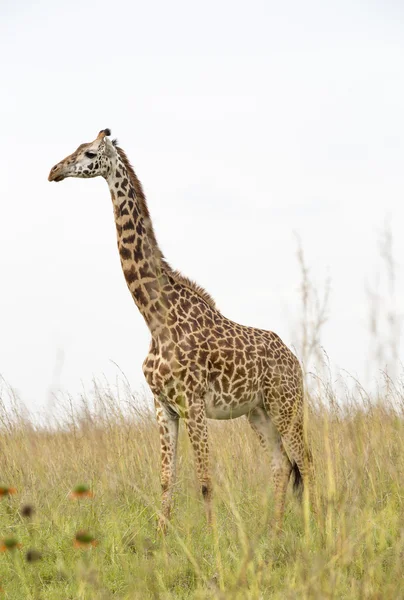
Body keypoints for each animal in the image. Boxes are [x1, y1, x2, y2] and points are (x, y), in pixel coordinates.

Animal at [49, 129, 314, 532]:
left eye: (90, 153)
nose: (54, 171)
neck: (155, 317)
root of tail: (294, 360)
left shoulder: (193, 402)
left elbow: (204, 478)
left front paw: (213, 537)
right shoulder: (163, 405)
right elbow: (166, 476)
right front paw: (162, 535)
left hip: (286, 405)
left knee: (306, 462)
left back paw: (317, 526)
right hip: (258, 412)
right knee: (282, 464)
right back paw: (275, 530)